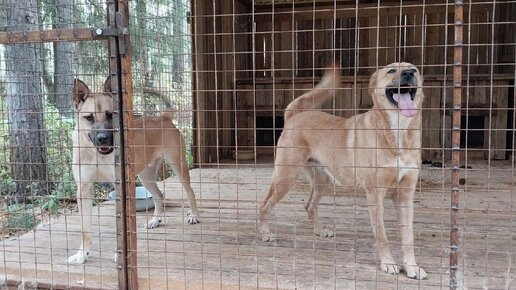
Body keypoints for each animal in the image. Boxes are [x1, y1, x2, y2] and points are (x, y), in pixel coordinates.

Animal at [67, 78, 200, 264]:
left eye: (110, 115)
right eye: (89, 117)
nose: (103, 138)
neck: (97, 155)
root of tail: (163, 117)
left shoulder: (121, 188)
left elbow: (122, 229)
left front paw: (121, 255)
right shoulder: (83, 190)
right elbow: (84, 229)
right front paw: (81, 255)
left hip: (178, 166)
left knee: (190, 192)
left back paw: (193, 214)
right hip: (146, 175)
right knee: (159, 196)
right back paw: (155, 220)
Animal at [260, 62, 426, 278]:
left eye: (414, 70)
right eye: (391, 71)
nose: (408, 73)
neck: (396, 132)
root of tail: (295, 115)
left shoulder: (405, 195)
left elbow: (408, 237)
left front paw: (412, 267)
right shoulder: (375, 195)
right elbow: (382, 235)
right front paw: (388, 263)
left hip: (323, 182)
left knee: (310, 206)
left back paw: (320, 231)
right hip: (285, 178)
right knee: (265, 205)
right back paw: (265, 233)